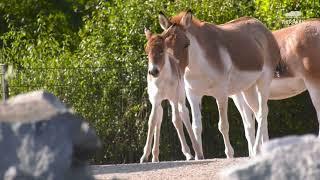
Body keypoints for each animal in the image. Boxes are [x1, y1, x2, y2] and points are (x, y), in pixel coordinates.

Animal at [142, 27, 204, 163]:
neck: (162, 80)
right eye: (146, 50)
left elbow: (176, 120)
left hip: (180, 98)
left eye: (161, 50)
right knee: (159, 118)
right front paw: (144, 156)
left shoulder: (173, 99)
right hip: (161, 103)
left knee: (184, 114)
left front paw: (188, 154)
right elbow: (152, 121)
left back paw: (197, 151)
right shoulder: (155, 100)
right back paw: (155, 157)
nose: (153, 71)